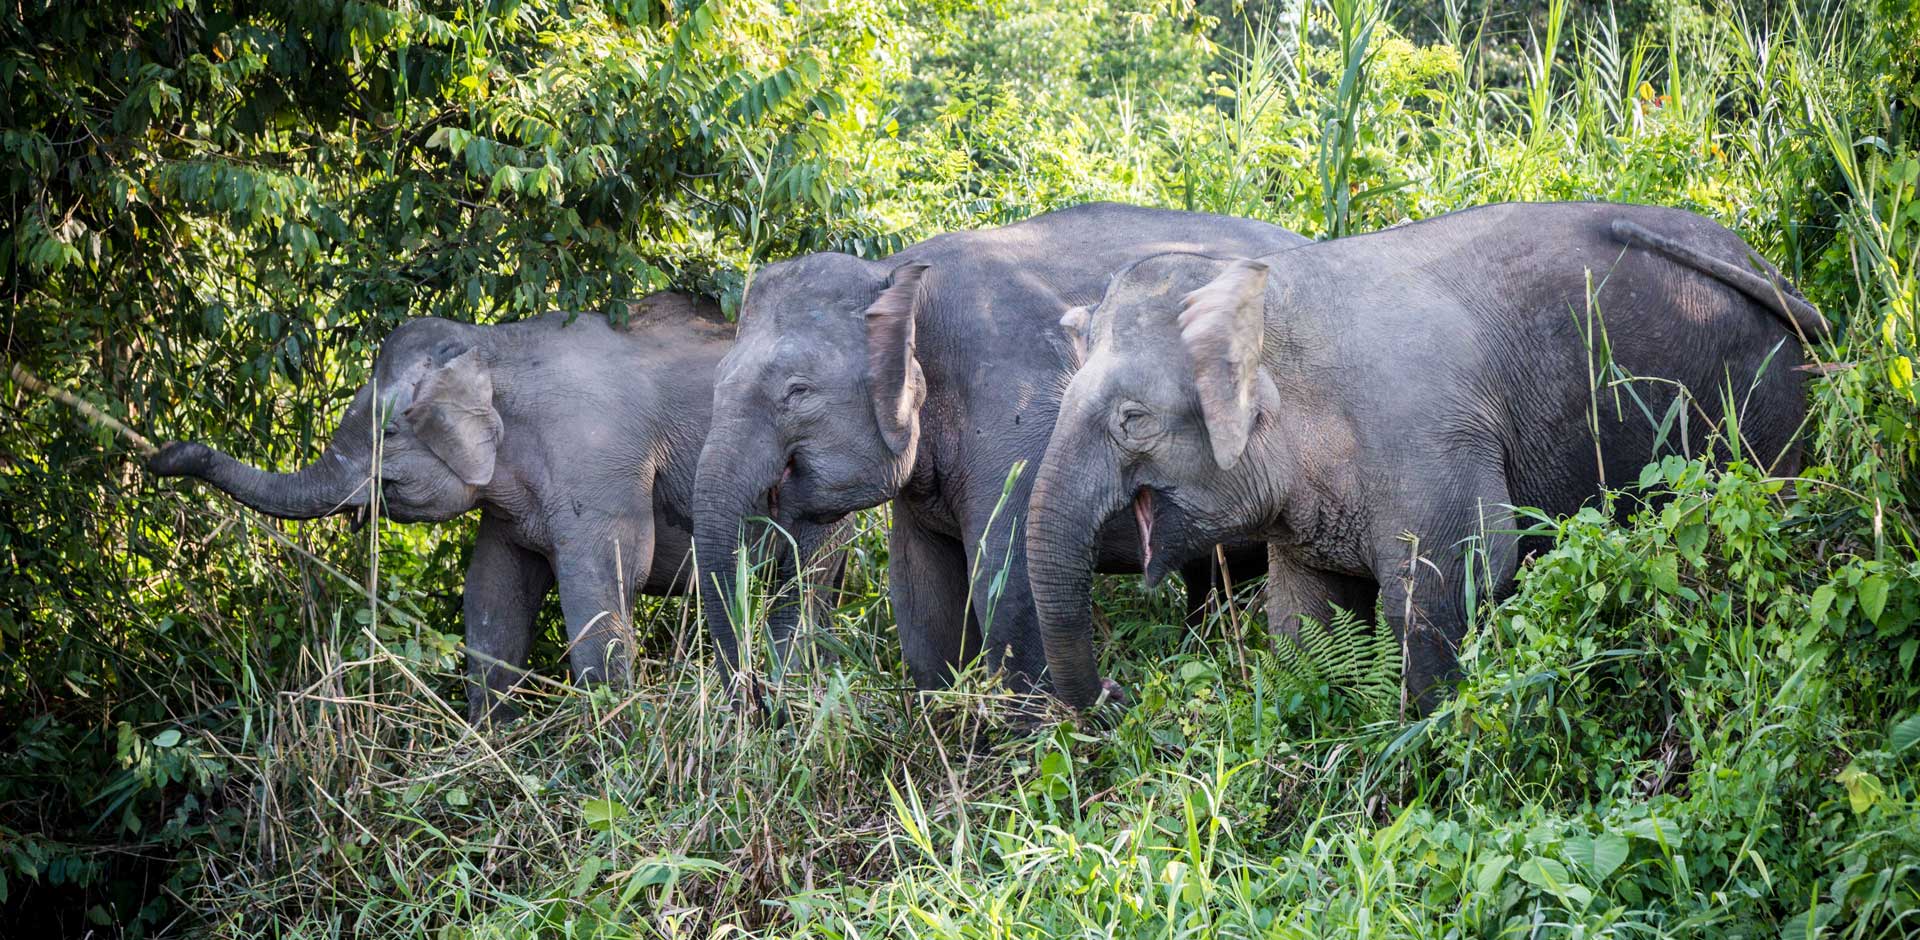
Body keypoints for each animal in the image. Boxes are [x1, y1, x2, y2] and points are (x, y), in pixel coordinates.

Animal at [149, 293, 840, 721]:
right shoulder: (509, 505)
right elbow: (492, 595)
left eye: (389, 433)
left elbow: (604, 580)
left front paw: (615, 748)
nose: (165, 451)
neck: (491, 344)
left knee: (804, 580)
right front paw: (493, 737)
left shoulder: (598, 459)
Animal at [691, 200, 1305, 698]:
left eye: (797, 392)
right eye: (716, 380)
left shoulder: (1020, 416)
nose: (762, 699)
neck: (898, 273)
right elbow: (922, 597)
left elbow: (1006, 584)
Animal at [1029, 200, 1820, 713]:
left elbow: (1458, 572)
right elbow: (1304, 619)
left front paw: (1432, 741)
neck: (1267, 289)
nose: (1118, 693)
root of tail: (1767, 267)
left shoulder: (1428, 438)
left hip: (1762, 398)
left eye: (1132, 420)